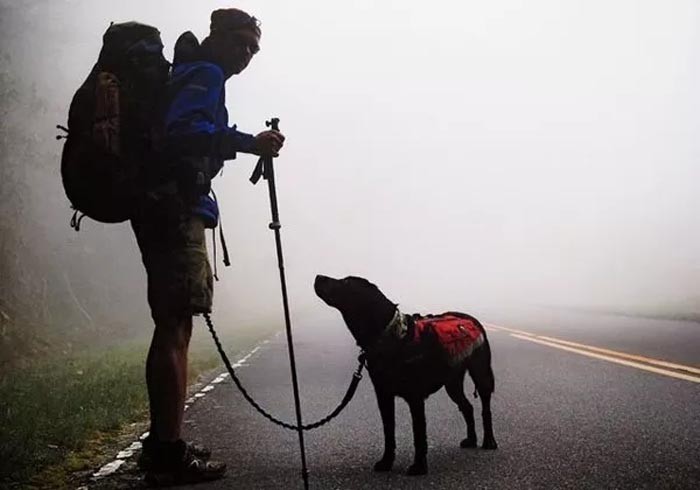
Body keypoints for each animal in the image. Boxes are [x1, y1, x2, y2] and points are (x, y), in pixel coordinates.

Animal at [314, 272, 494, 474]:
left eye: (345, 282)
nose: (318, 276)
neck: (393, 337)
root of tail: (471, 318)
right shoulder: (383, 395)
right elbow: (388, 431)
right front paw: (386, 462)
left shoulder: (415, 397)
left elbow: (419, 433)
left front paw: (419, 466)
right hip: (452, 382)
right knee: (467, 407)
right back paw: (471, 439)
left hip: (482, 373)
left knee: (485, 408)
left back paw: (489, 441)